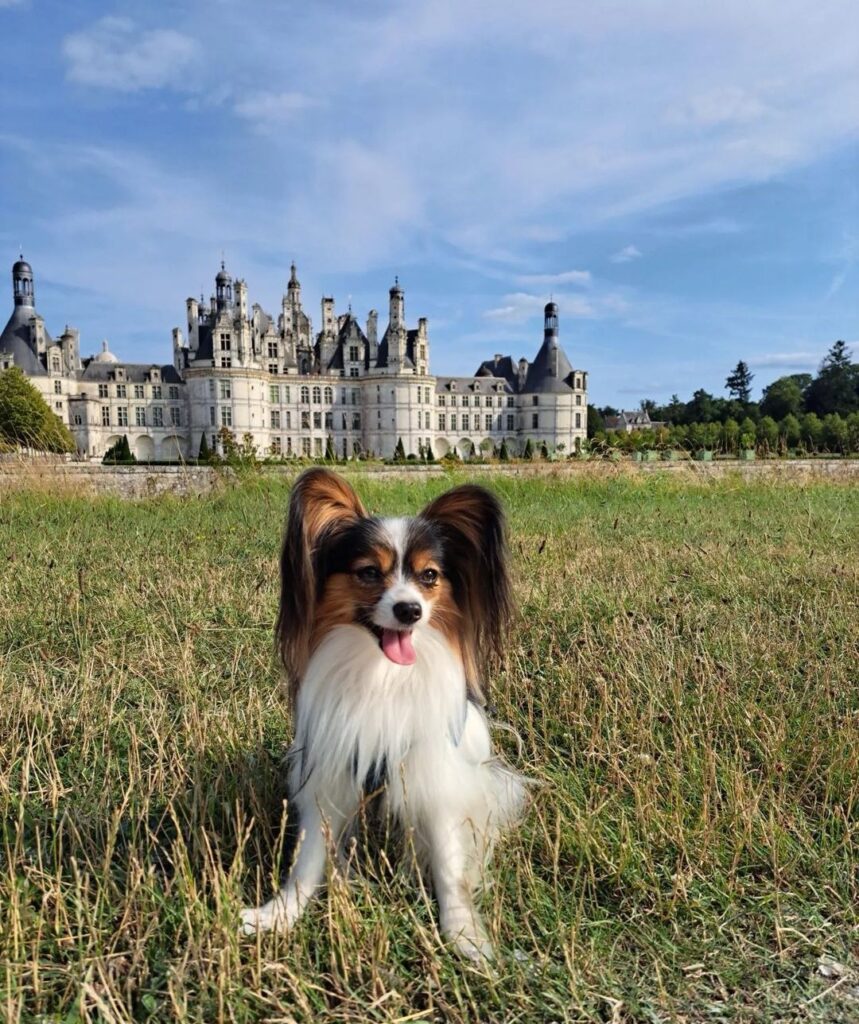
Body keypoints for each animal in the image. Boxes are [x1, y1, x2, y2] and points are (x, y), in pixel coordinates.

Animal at [238, 468, 528, 958]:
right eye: (369, 573)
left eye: (429, 576)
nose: (409, 610)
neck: (382, 675)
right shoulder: (332, 772)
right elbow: (308, 860)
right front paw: (279, 915)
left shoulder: (433, 776)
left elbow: (449, 864)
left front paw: (464, 937)